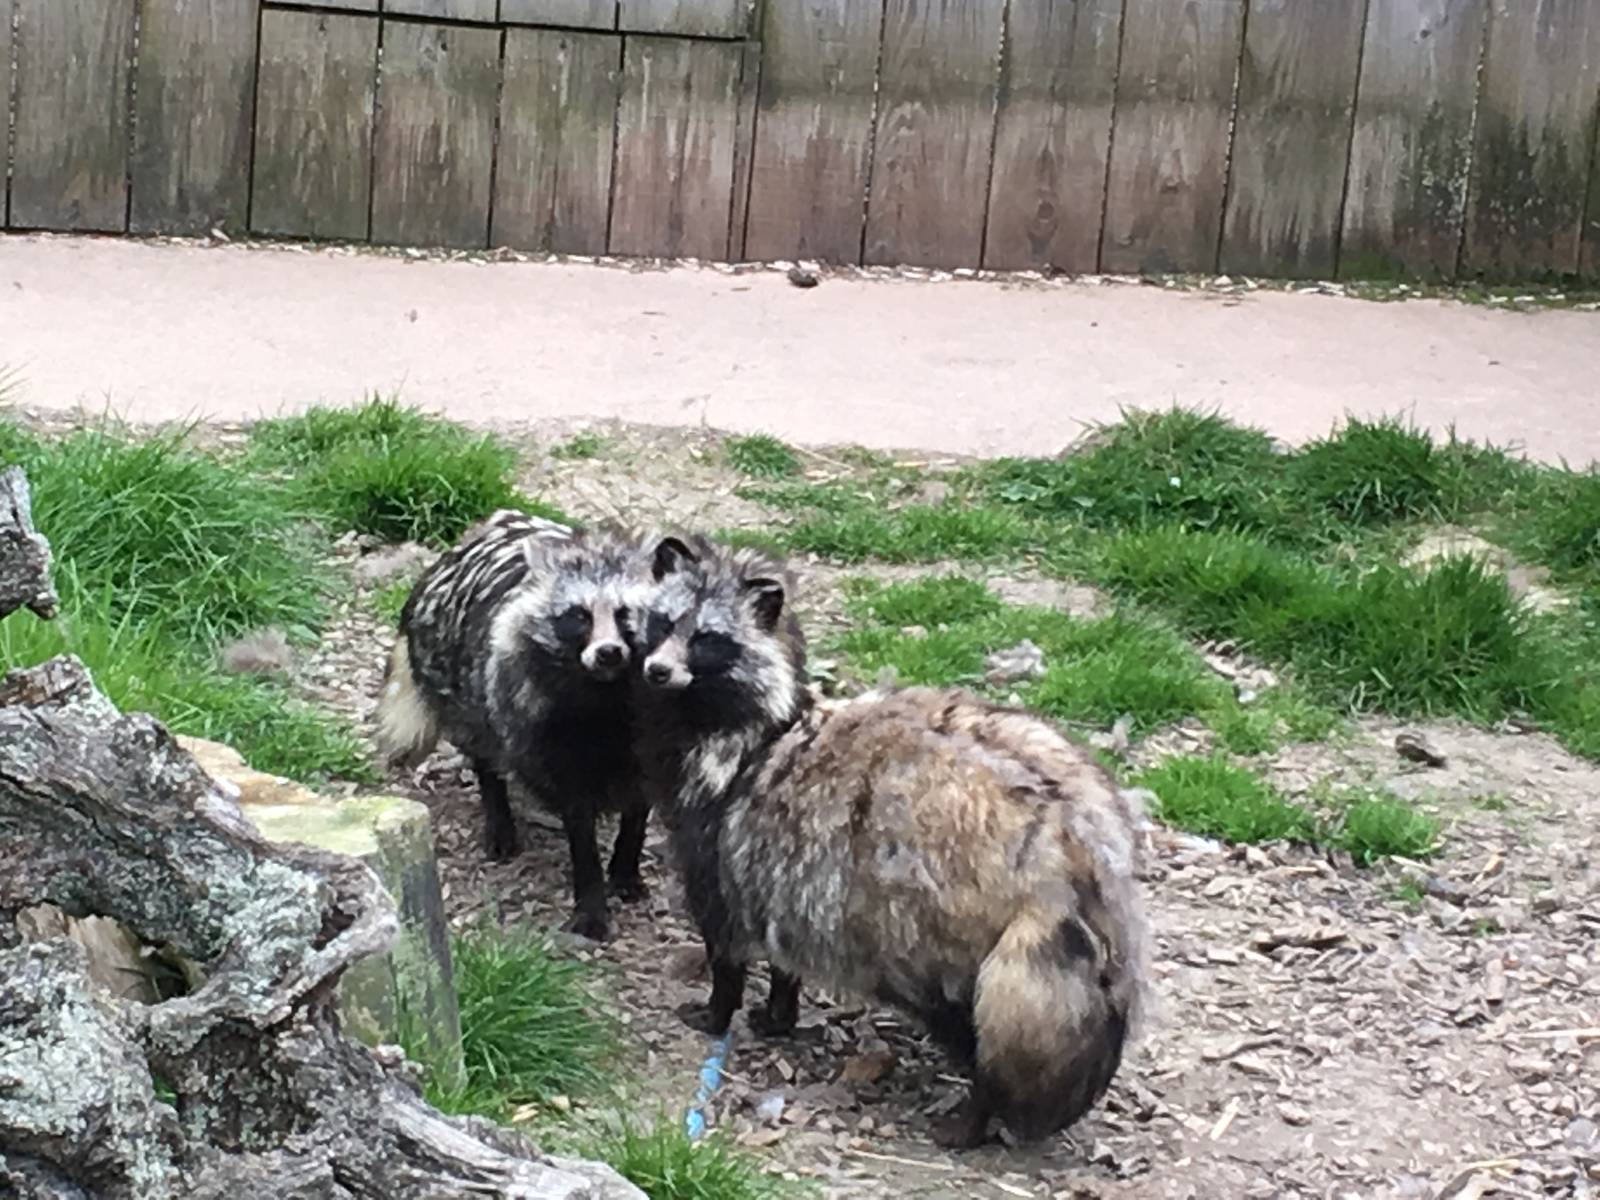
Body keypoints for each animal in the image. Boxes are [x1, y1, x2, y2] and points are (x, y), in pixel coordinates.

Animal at [374, 509, 657, 941]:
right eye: (579, 616)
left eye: (627, 614)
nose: (608, 653)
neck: (608, 696)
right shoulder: (551, 740)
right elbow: (579, 821)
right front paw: (591, 899)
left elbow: (640, 805)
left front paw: (626, 864)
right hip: (463, 687)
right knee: (485, 753)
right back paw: (499, 817)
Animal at [633, 538, 1150, 1149]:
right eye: (663, 622)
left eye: (708, 639)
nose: (656, 670)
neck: (764, 724)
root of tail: (1069, 846)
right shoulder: (782, 873)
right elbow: (784, 953)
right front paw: (780, 1012)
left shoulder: (713, 848)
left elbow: (725, 949)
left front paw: (720, 1010)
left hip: (935, 934)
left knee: (972, 1025)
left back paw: (973, 1115)